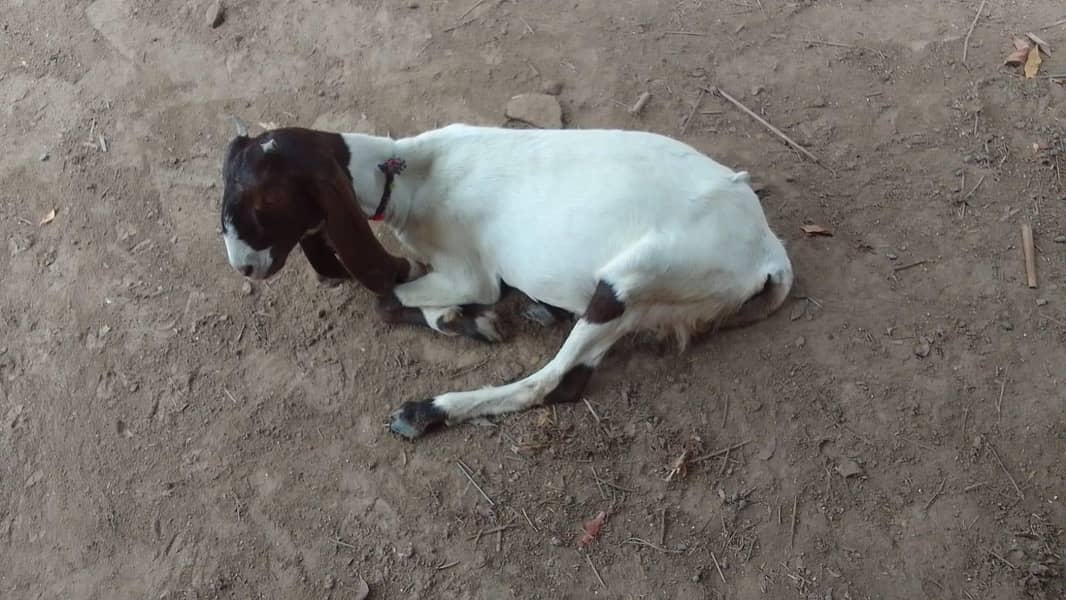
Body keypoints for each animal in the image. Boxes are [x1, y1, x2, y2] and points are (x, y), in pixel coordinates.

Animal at [219, 119, 794, 439]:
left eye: (268, 200)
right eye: (226, 187)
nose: (243, 266)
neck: (411, 172)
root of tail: (769, 253)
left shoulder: (469, 273)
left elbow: (389, 300)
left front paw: (469, 320)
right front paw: (463, 320)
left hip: (636, 277)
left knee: (554, 383)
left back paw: (427, 412)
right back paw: (543, 308)